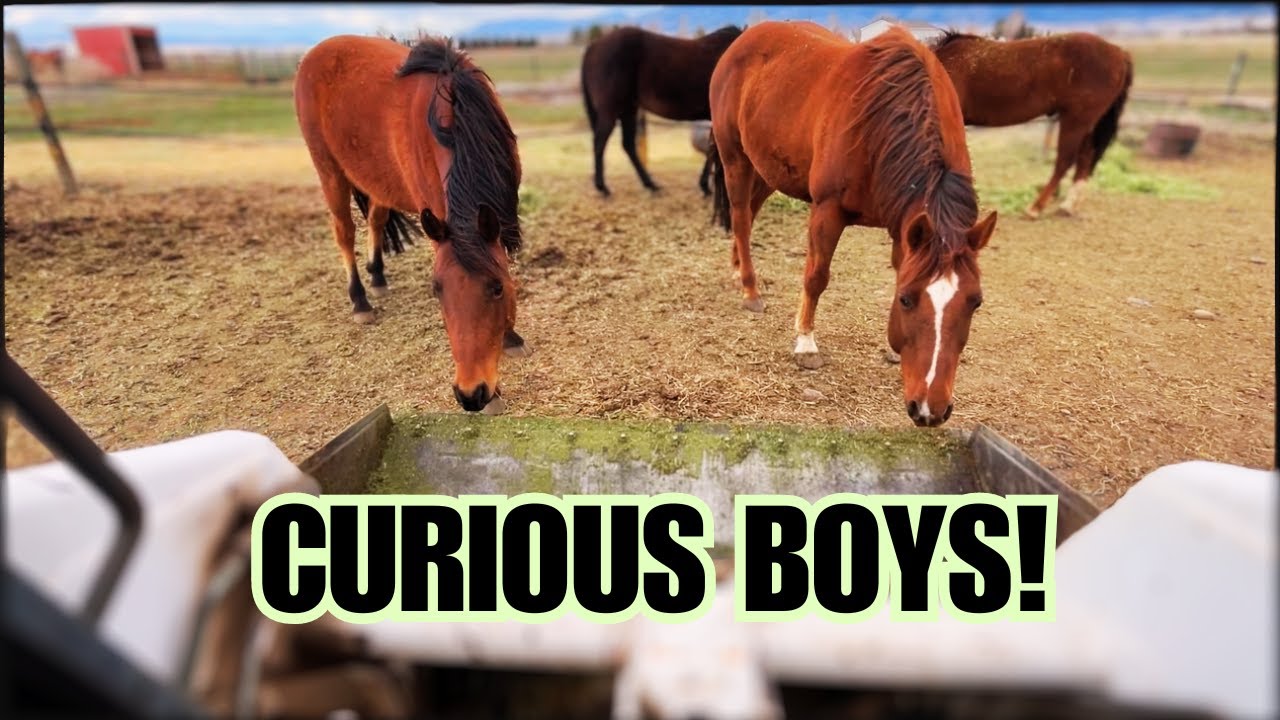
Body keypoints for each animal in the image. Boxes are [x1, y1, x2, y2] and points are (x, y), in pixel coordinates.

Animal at [294, 34, 529, 412]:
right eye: (437, 289)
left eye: (496, 288)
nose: (471, 394)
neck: (456, 118)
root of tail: (317, 51)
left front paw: (510, 337)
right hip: (329, 170)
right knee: (345, 232)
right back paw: (360, 301)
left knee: (376, 219)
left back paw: (377, 277)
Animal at [580, 25, 743, 197]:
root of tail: (594, 45)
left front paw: (705, 186)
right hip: (611, 110)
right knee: (600, 143)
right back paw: (603, 188)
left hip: (628, 110)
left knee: (628, 145)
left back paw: (650, 185)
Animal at [707, 22, 997, 428]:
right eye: (907, 299)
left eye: (976, 302)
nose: (930, 411)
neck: (883, 124)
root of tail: (745, 37)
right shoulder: (827, 210)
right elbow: (816, 277)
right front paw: (806, 344)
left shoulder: (905, 228)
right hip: (735, 157)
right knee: (740, 217)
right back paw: (749, 289)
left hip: (767, 167)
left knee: (748, 212)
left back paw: (737, 270)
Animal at [929, 30, 1134, 219]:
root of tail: (1119, 53)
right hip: (1086, 123)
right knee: (1085, 158)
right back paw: (1067, 206)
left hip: (1076, 120)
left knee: (1064, 161)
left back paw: (1035, 208)